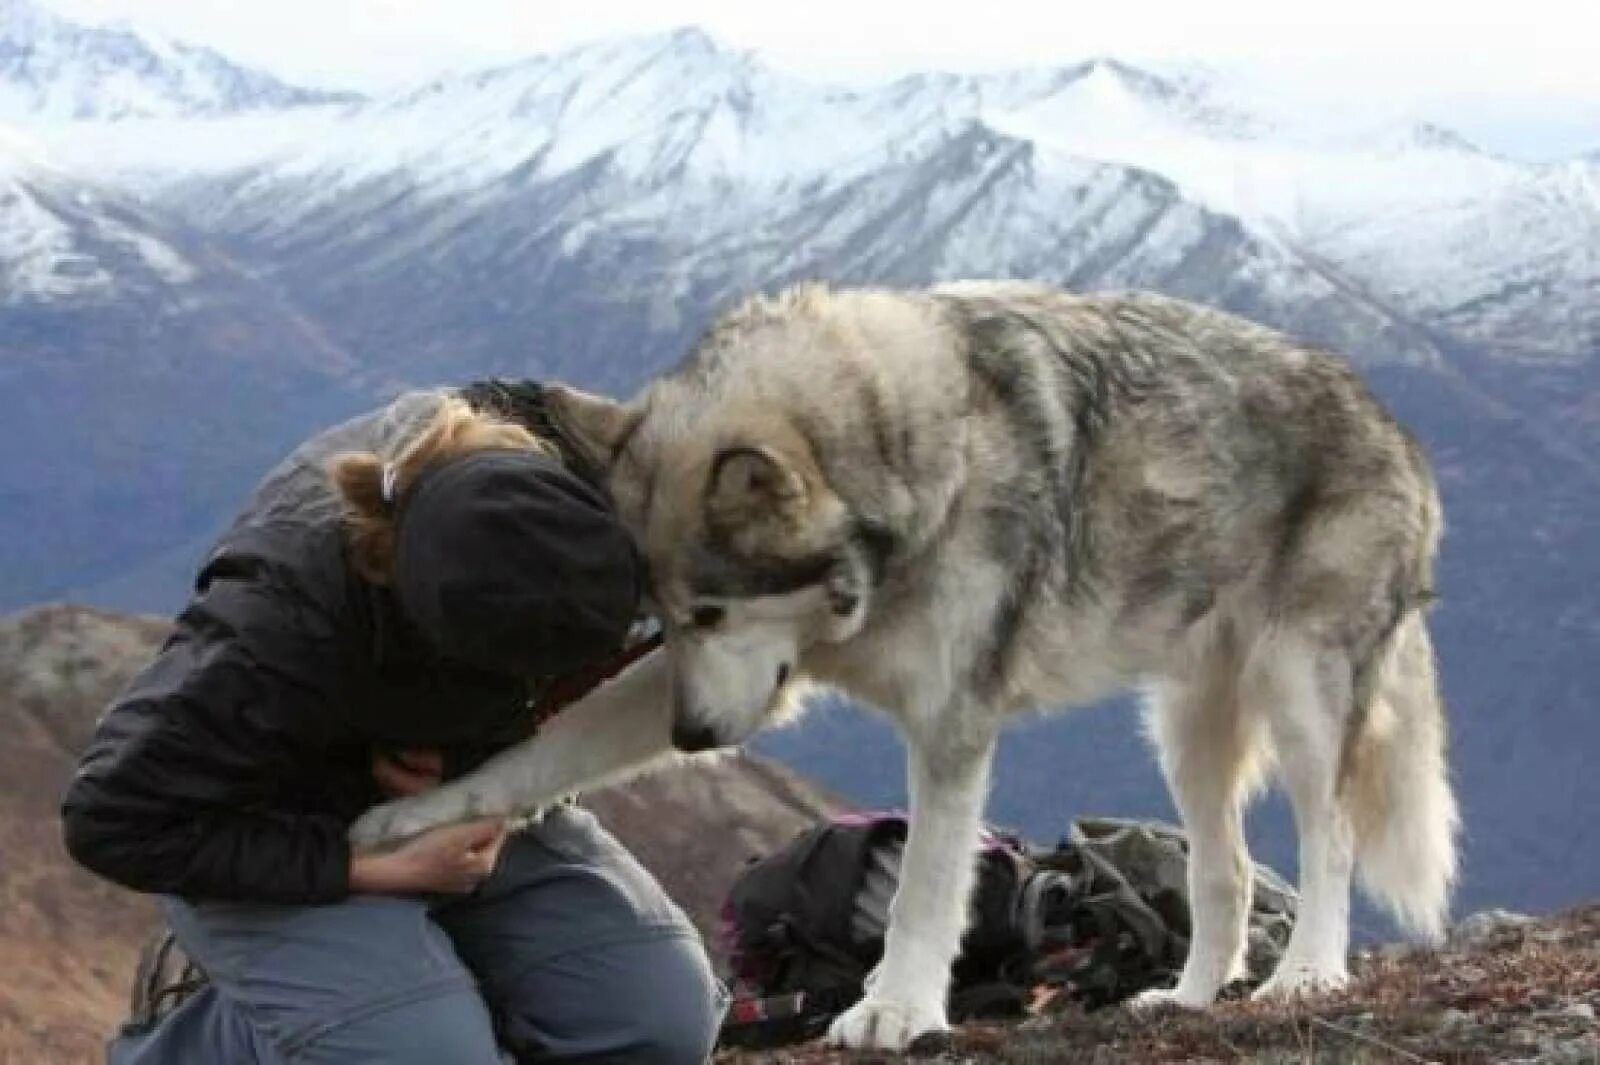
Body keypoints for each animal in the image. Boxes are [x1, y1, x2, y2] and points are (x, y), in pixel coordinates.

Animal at [353, 278, 1465, 1049]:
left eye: (710, 610)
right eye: (659, 619)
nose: (693, 736)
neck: (909, 471)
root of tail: (1394, 423)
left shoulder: (951, 729)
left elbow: (925, 889)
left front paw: (892, 1010)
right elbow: (535, 758)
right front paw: (405, 822)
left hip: (1301, 702)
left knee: (1329, 842)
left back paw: (1306, 977)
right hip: (1185, 734)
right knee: (1223, 873)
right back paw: (1184, 998)